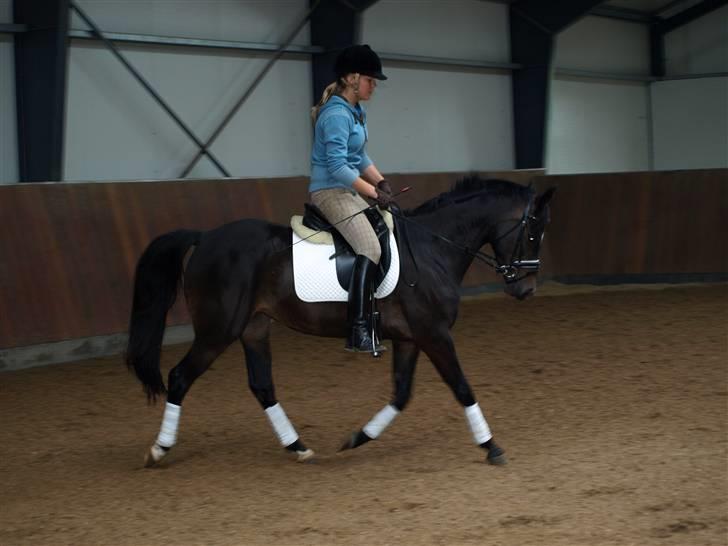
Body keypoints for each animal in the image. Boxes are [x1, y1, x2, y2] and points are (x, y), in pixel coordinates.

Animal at [126, 176, 556, 466]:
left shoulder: (411, 338)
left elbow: (401, 394)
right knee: (180, 377)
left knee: (262, 386)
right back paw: (159, 449)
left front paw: (357, 438)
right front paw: (491, 446)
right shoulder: (434, 335)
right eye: (534, 231)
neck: (433, 248)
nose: (526, 289)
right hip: (219, 331)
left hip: (254, 327)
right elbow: (462, 387)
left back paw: (298, 447)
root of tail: (204, 237)